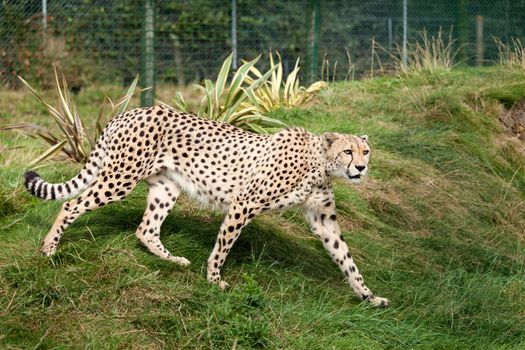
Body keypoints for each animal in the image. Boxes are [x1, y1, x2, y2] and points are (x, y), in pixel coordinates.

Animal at [25, 106, 388, 306]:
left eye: (365, 152)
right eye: (347, 151)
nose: (360, 168)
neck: (319, 164)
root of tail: (130, 111)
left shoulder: (323, 218)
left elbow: (346, 259)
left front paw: (369, 296)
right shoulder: (245, 202)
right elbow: (224, 245)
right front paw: (214, 279)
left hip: (166, 187)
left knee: (145, 229)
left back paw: (173, 260)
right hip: (120, 178)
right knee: (71, 205)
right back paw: (49, 248)